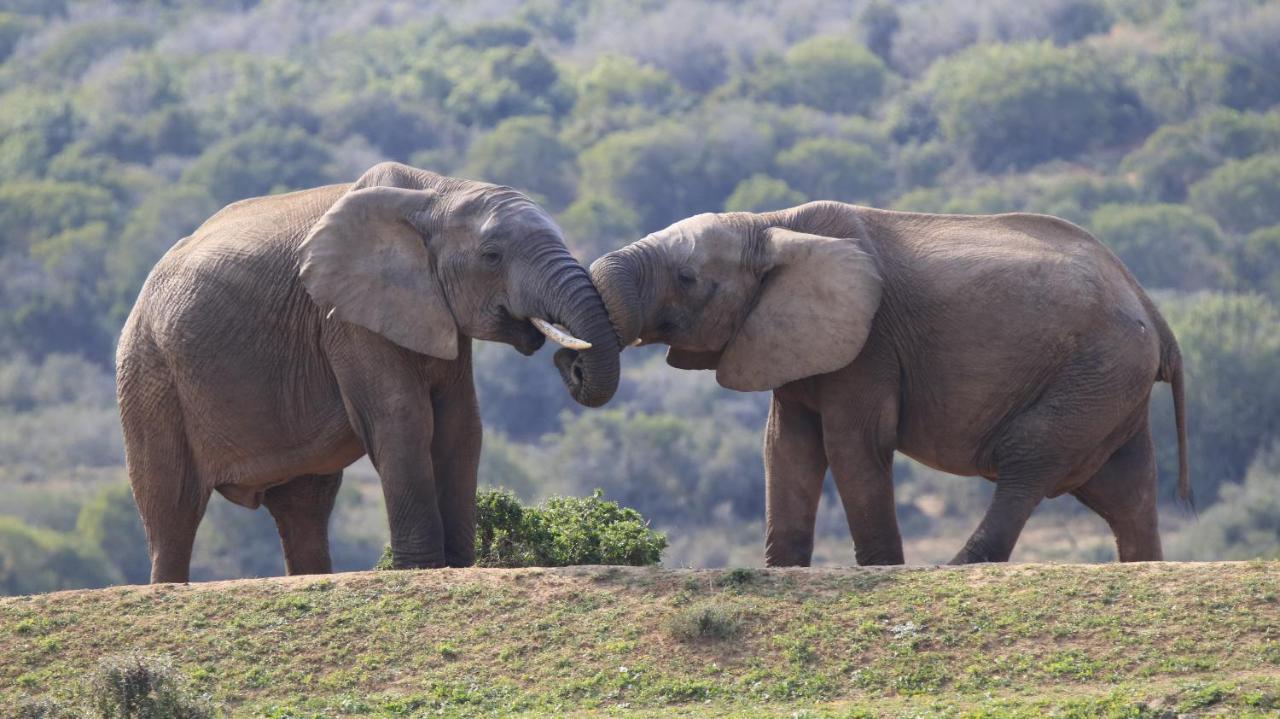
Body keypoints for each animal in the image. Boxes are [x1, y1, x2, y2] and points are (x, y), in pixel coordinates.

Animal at [116, 162, 619, 583]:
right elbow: (403, 419)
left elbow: (461, 426)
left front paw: (458, 565)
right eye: (492, 256)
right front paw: (421, 571)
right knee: (172, 507)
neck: (435, 193)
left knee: (305, 505)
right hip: (149, 373)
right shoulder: (346, 317)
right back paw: (168, 588)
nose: (570, 364)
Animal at [586, 199, 1187, 565]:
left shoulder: (870, 346)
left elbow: (852, 446)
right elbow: (786, 448)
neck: (771, 224)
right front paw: (782, 572)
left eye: (687, 279)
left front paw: (881, 570)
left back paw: (952, 567)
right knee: (1127, 491)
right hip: (1110, 384)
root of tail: (1156, 314)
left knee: (1028, 459)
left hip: (1096, 370)